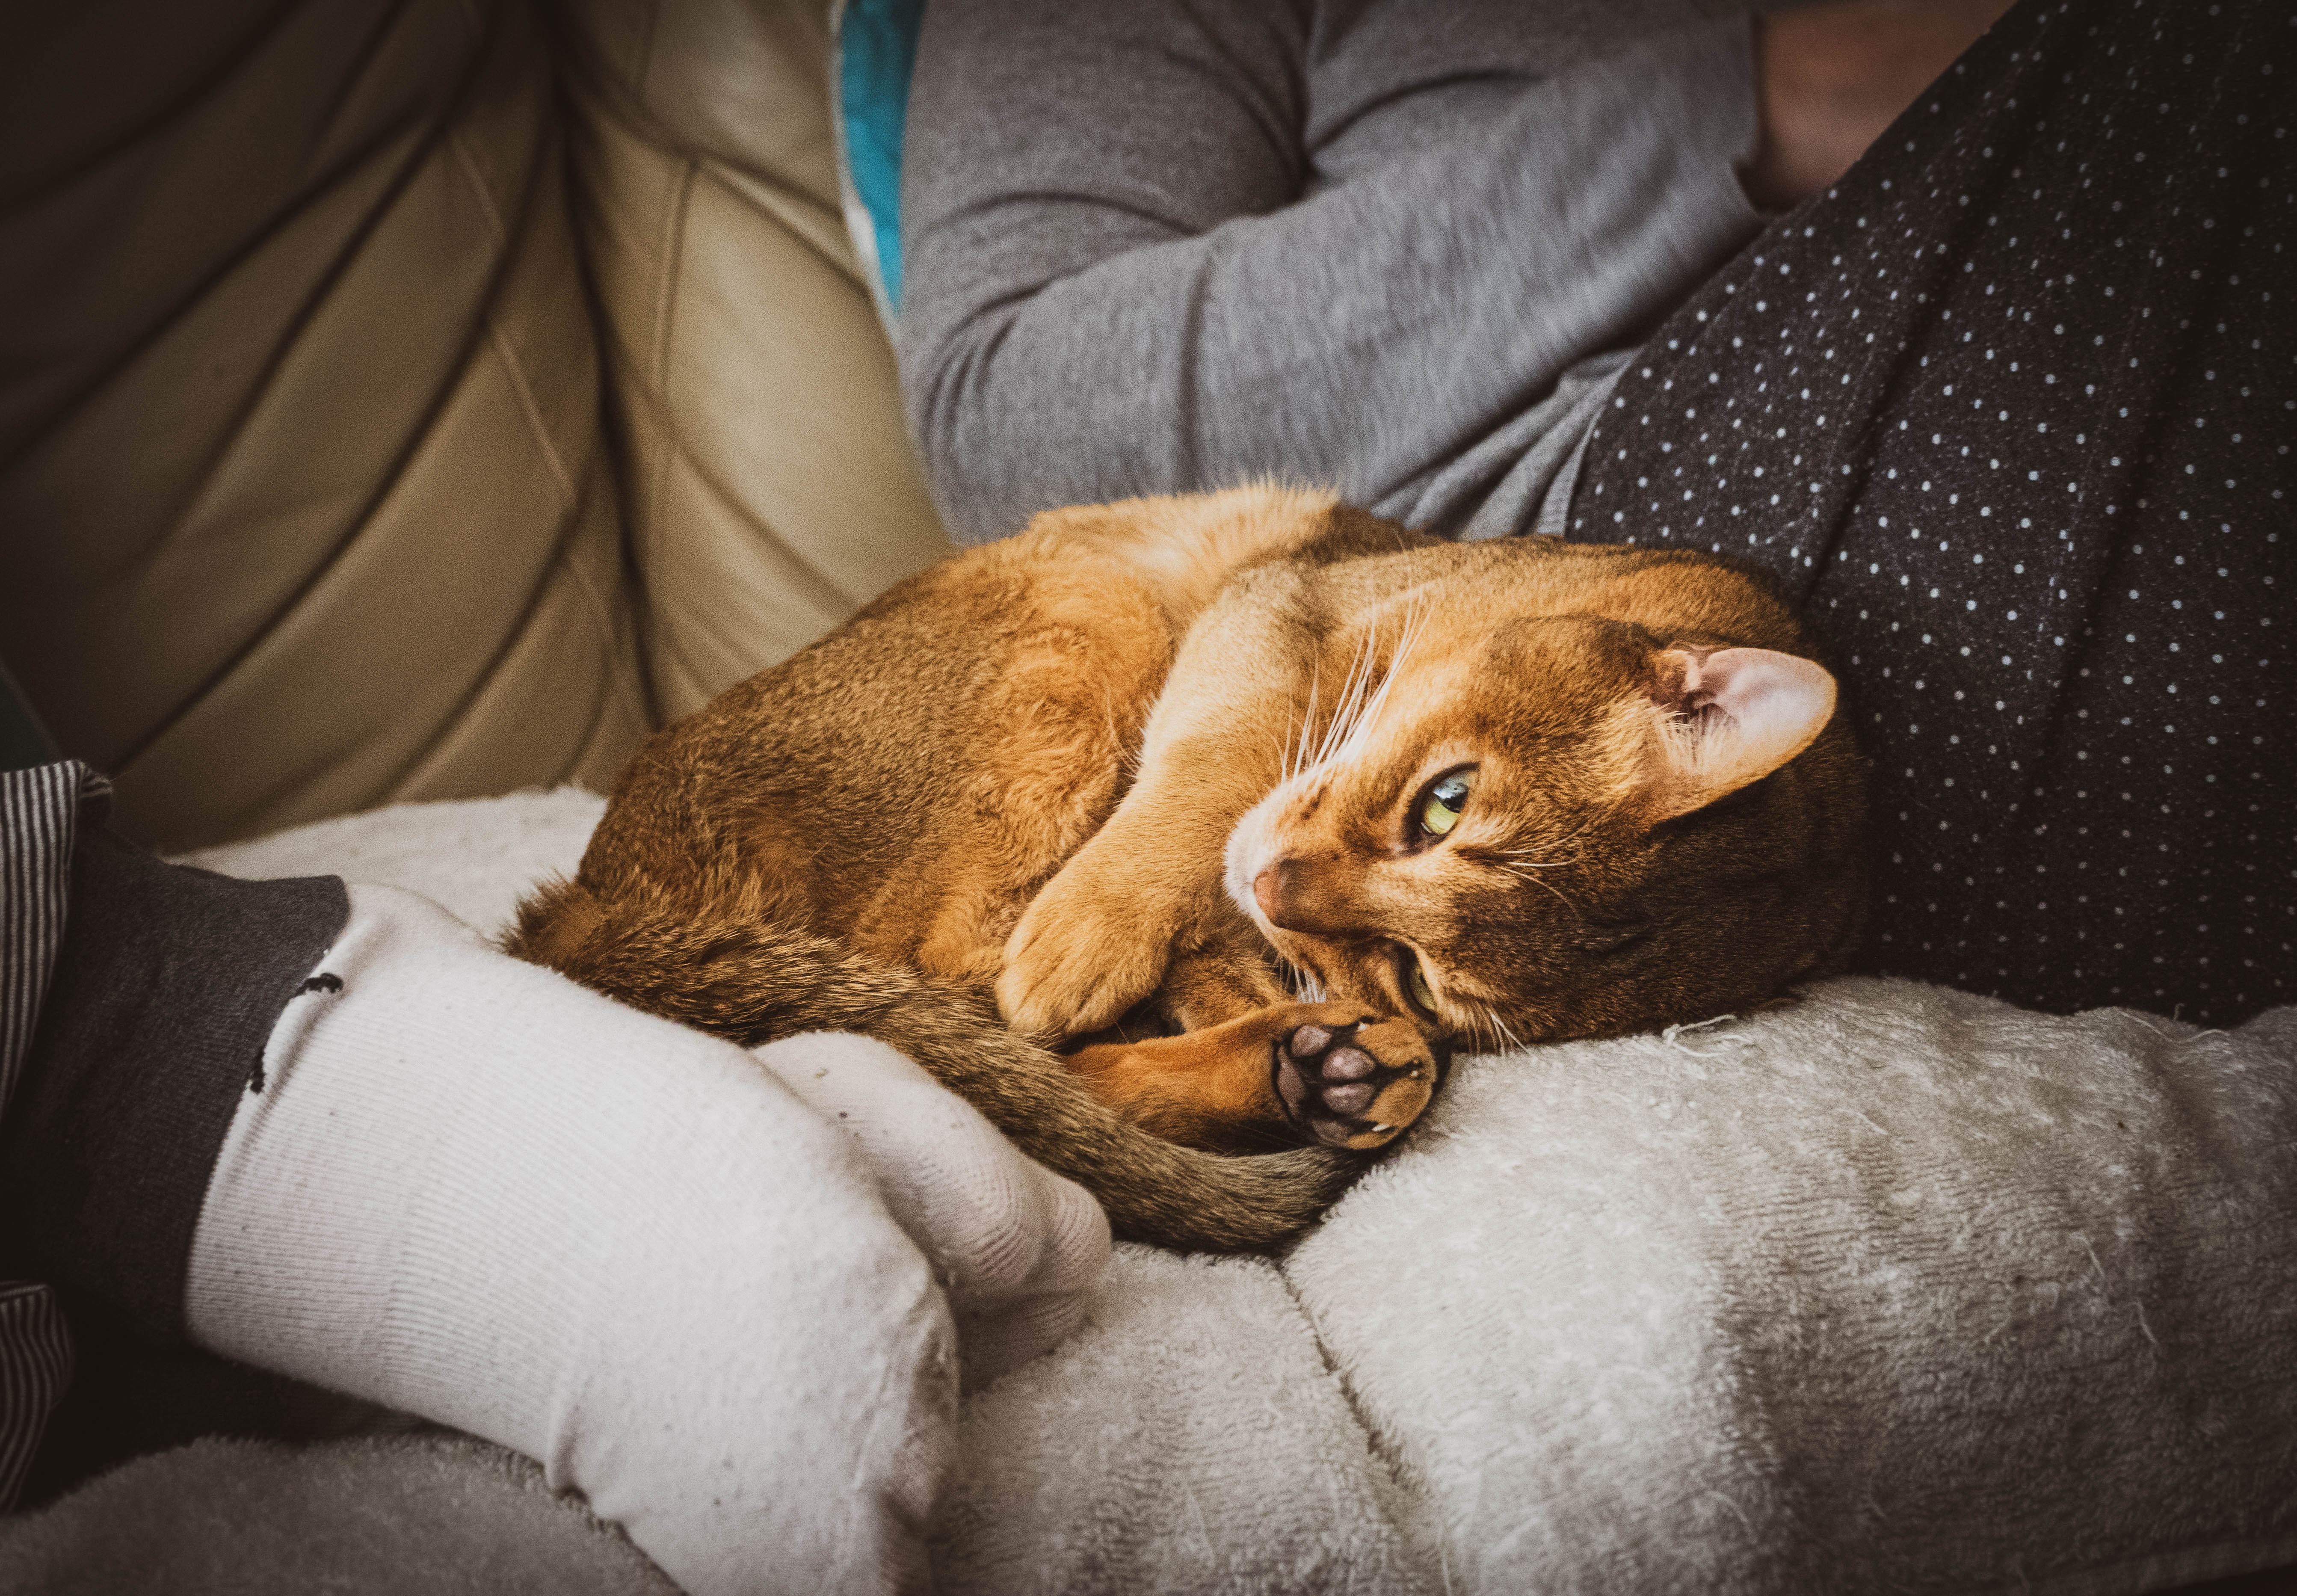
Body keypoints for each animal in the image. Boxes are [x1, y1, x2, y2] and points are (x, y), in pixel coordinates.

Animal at [503, 480, 1865, 1258]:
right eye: (1445, 802)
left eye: (1419, 972)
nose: (1275, 892)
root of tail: (594, 891)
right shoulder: (1268, 609)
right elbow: (1215, 763)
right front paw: (1105, 926)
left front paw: (1288, 1009)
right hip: (1084, 614)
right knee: (958, 994)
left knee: (999, 1047)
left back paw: (1326, 1074)